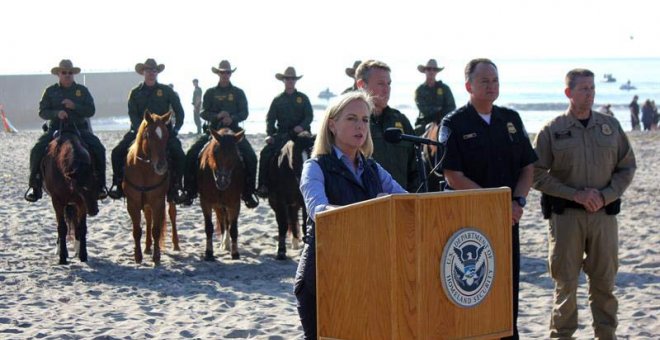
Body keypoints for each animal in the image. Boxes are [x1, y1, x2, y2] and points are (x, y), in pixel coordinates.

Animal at [42, 125, 99, 266]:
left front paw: (83, 255)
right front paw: (62, 257)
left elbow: (81, 227)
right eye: (83, 187)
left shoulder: (81, 203)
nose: (94, 210)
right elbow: (61, 227)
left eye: (96, 183)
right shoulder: (57, 201)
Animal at [124, 111, 179, 266]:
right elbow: (137, 230)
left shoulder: (158, 201)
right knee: (148, 218)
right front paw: (138, 256)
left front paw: (157, 256)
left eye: (166, 135)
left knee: (172, 213)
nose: (161, 166)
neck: (144, 169)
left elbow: (156, 230)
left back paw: (176, 244)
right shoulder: (133, 203)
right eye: (148, 135)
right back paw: (147, 246)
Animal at [199, 127, 248, 260]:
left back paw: (226, 244)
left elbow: (234, 229)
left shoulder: (234, 203)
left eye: (235, 155)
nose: (222, 182)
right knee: (222, 222)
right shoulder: (205, 202)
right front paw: (209, 252)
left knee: (226, 222)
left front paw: (235, 253)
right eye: (215, 153)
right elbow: (209, 227)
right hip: (218, 205)